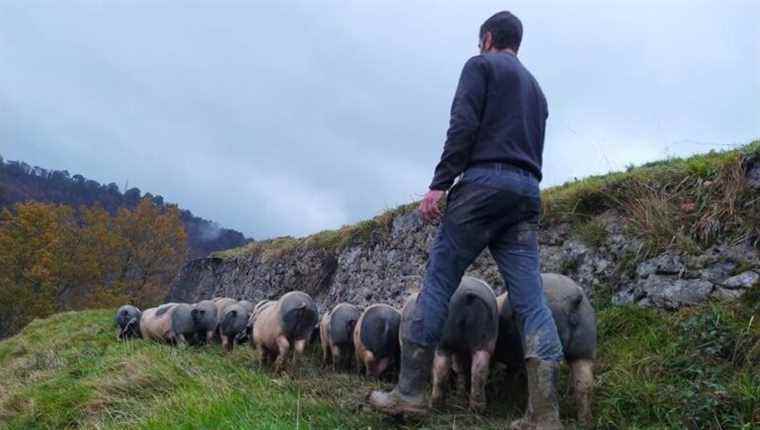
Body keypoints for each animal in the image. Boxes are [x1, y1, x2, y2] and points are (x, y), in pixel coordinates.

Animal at [428, 276, 498, 414]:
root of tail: (467, 296)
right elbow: (461, 368)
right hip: (485, 339)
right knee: (479, 370)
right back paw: (476, 409)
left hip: (445, 340)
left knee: (441, 368)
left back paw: (436, 406)